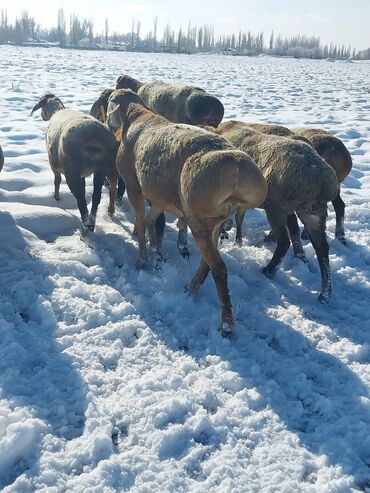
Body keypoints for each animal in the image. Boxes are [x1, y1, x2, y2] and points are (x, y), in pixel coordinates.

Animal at [32, 96, 119, 234]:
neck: (56, 110)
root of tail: (94, 136)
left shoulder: (54, 166)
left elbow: (57, 181)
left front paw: (56, 197)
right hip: (106, 167)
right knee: (103, 193)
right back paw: (98, 219)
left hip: (72, 170)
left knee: (81, 200)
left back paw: (84, 228)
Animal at [106, 88, 266, 334]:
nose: (107, 123)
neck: (137, 115)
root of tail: (241, 171)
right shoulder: (159, 194)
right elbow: (152, 220)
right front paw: (157, 252)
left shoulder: (134, 186)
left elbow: (141, 222)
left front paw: (142, 259)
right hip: (215, 220)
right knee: (207, 262)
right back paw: (191, 287)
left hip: (198, 216)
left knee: (218, 267)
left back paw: (226, 324)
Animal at [212, 121, 340, 302]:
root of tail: (322, 182)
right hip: (313, 212)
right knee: (321, 247)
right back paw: (324, 294)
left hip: (277, 208)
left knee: (285, 242)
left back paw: (269, 270)